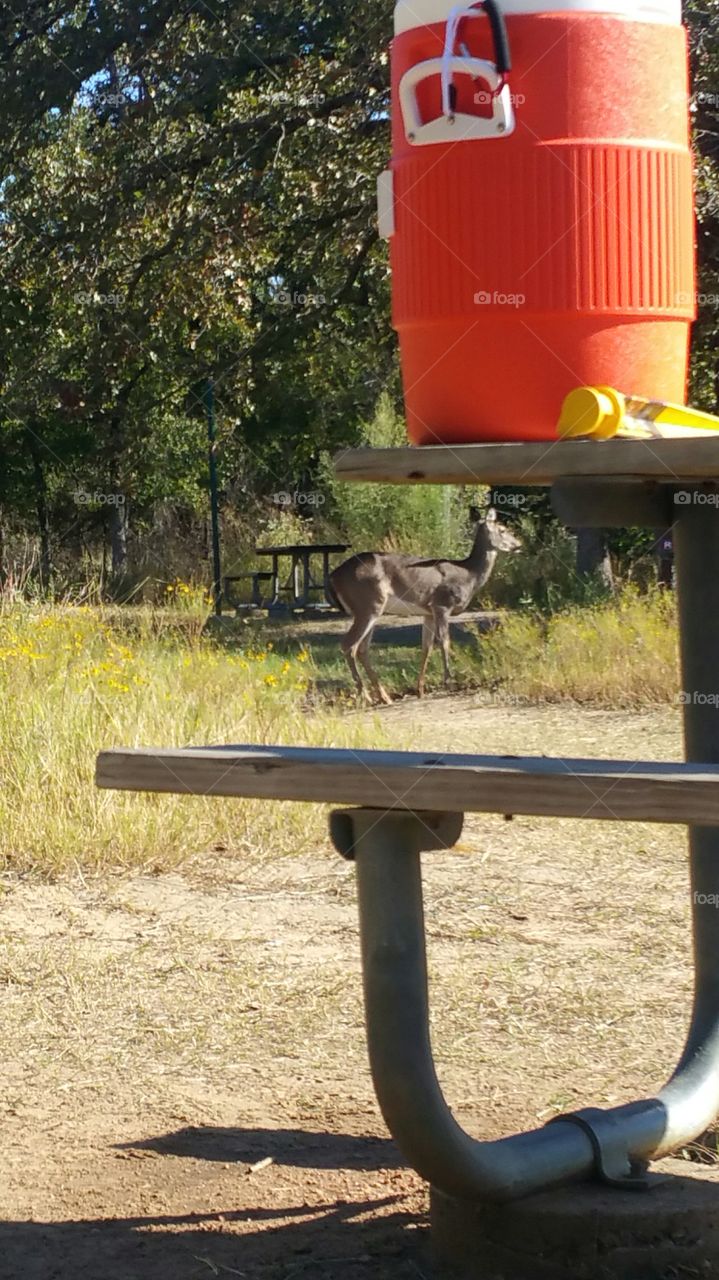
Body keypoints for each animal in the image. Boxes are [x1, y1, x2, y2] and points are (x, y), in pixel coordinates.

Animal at [329, 508, 522, 704]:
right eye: (502, 529)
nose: (518, 544)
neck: (469, 574)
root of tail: (334, 576)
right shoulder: (442, 604)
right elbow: (444, 641)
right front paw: (450, 683)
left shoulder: (428, 613)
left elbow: (426, 647)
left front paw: (420, 690)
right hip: (368, 605)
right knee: (349, 645)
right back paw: (366, 697)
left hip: (371, 609)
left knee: (362, 648)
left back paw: (384, 697)